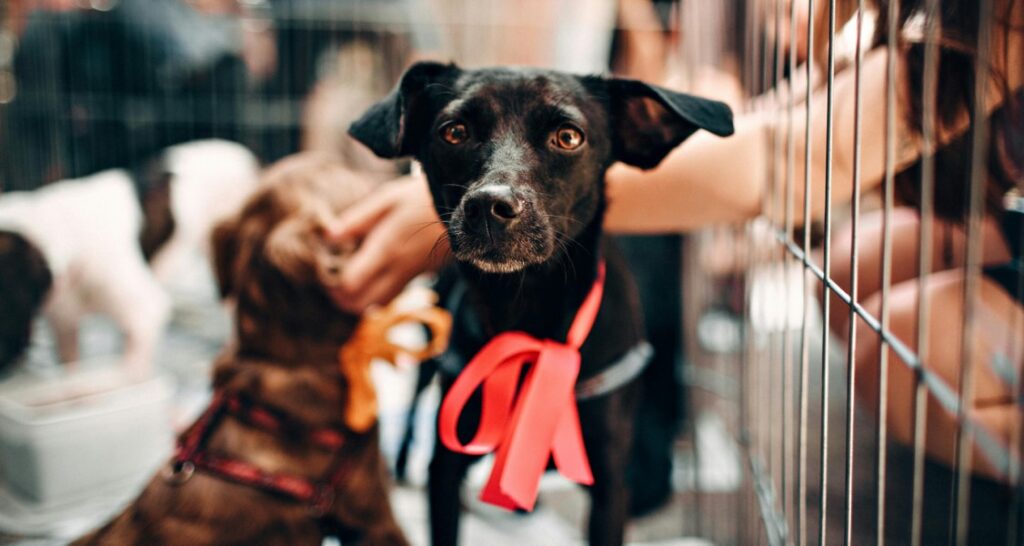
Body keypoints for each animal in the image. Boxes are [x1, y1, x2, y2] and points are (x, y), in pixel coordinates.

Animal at [350, 62, 729, 544]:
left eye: (568, 137)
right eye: (454, 132)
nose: (489, 206)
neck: (524, 303)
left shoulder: (609, 483)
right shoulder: (446, 468)